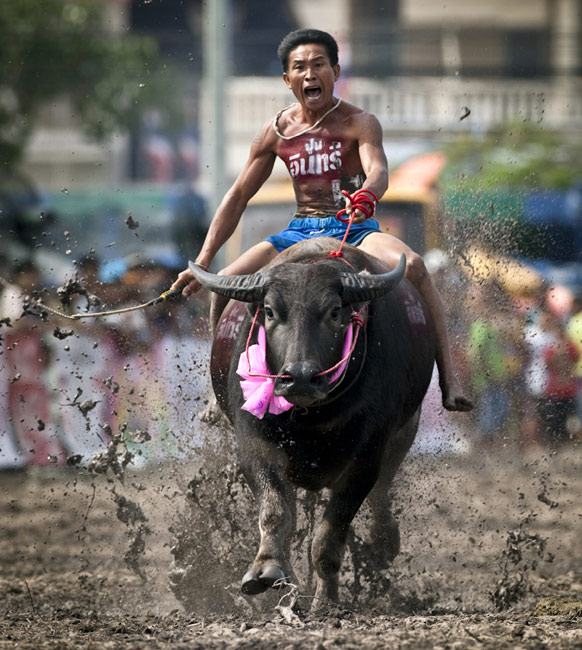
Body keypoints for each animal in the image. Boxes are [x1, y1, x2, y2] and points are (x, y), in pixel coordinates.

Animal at [188, 237, 436, 609]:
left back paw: (383, 544)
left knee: (382, 492)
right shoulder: (254, 445)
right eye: (270, 311)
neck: (311, 417)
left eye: (334, 312)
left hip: (404, 432)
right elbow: (275, 510)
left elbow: (329, 536)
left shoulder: (364, 462)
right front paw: (267, 570)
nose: (301, 377)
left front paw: (326, 600)